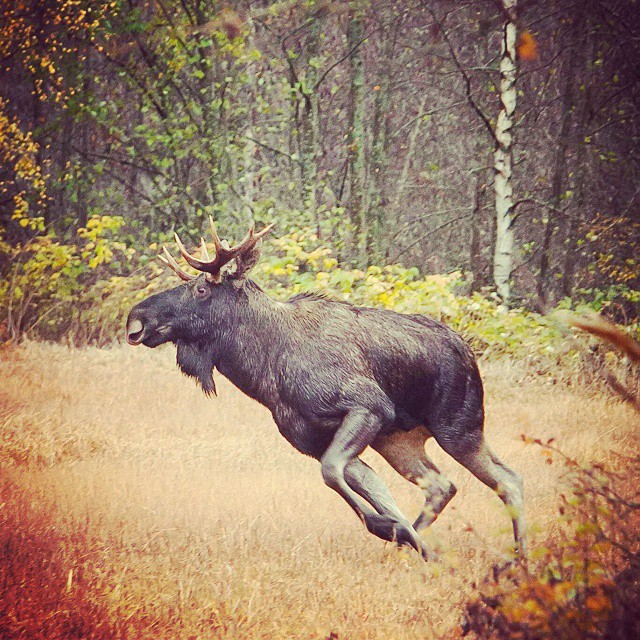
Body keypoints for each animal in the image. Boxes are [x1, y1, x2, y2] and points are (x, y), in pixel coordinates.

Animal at [125, 221, 524, 560]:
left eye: (201, 288)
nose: (137, 318)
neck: (266, 373)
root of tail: (468, 351)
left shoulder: (369, 407)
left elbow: (334, 474)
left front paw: (388, 529)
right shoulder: (313, 439)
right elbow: (367, 488)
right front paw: (405, 537)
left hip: (458, 425)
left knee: (508, 479)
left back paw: (519, 558)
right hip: (401, 441)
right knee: (442, 485)